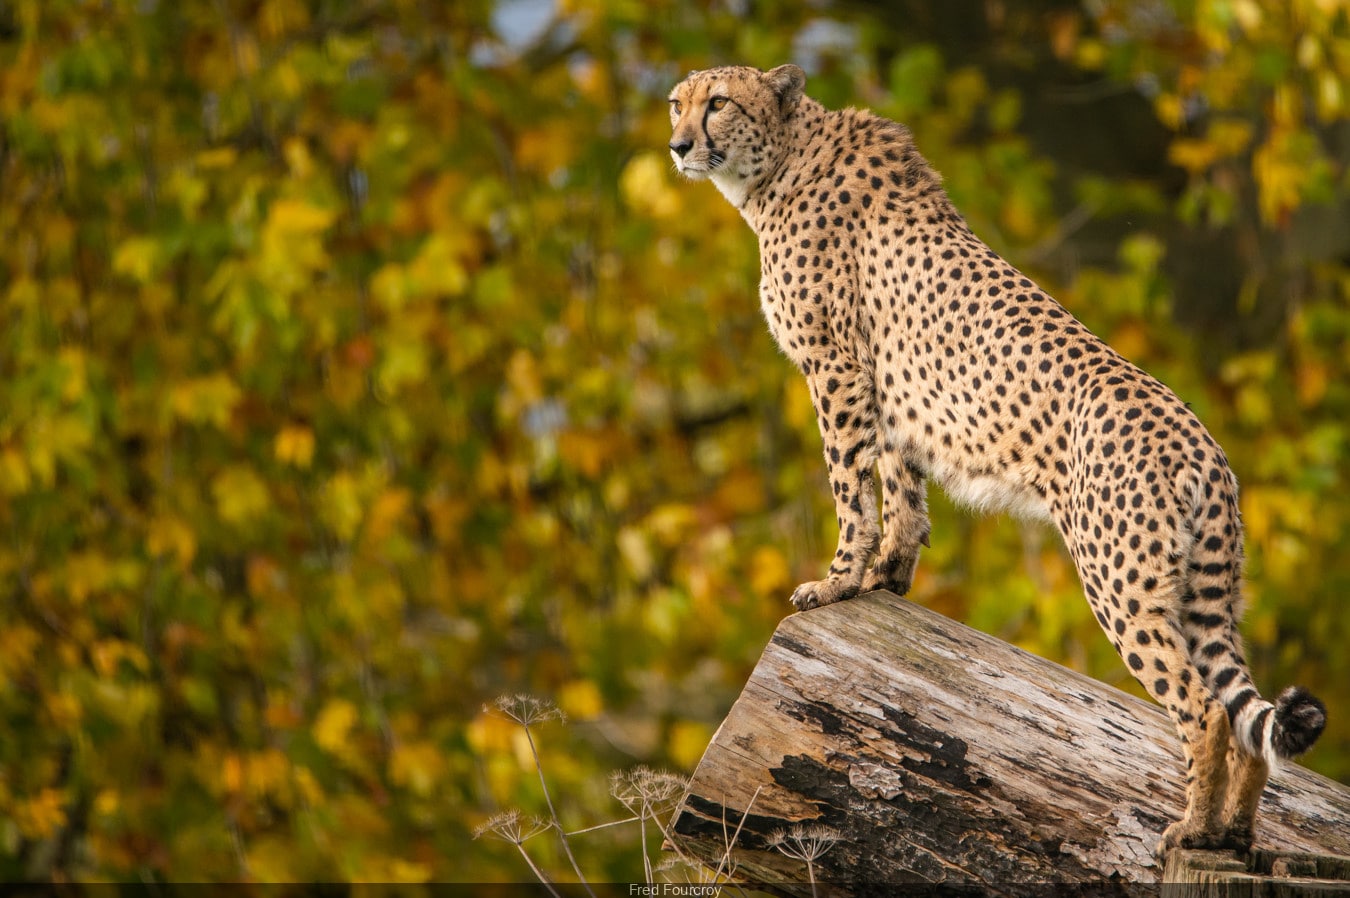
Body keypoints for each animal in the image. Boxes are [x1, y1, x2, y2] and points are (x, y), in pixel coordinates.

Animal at [669, 63, 1323, 853]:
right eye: (675, 103)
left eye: (718, 103)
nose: (677, 145)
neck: (779, 166)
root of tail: (1203, 446)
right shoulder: (893, 391)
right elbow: (901, 491)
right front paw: (888, 577)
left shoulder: (839, 370)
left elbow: (850, 485)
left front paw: (837, 582)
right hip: (1204, 591)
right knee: (1247, 719)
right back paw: (1232, 835)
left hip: (1120, 581)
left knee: (1204, 709)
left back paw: (1190, 830)